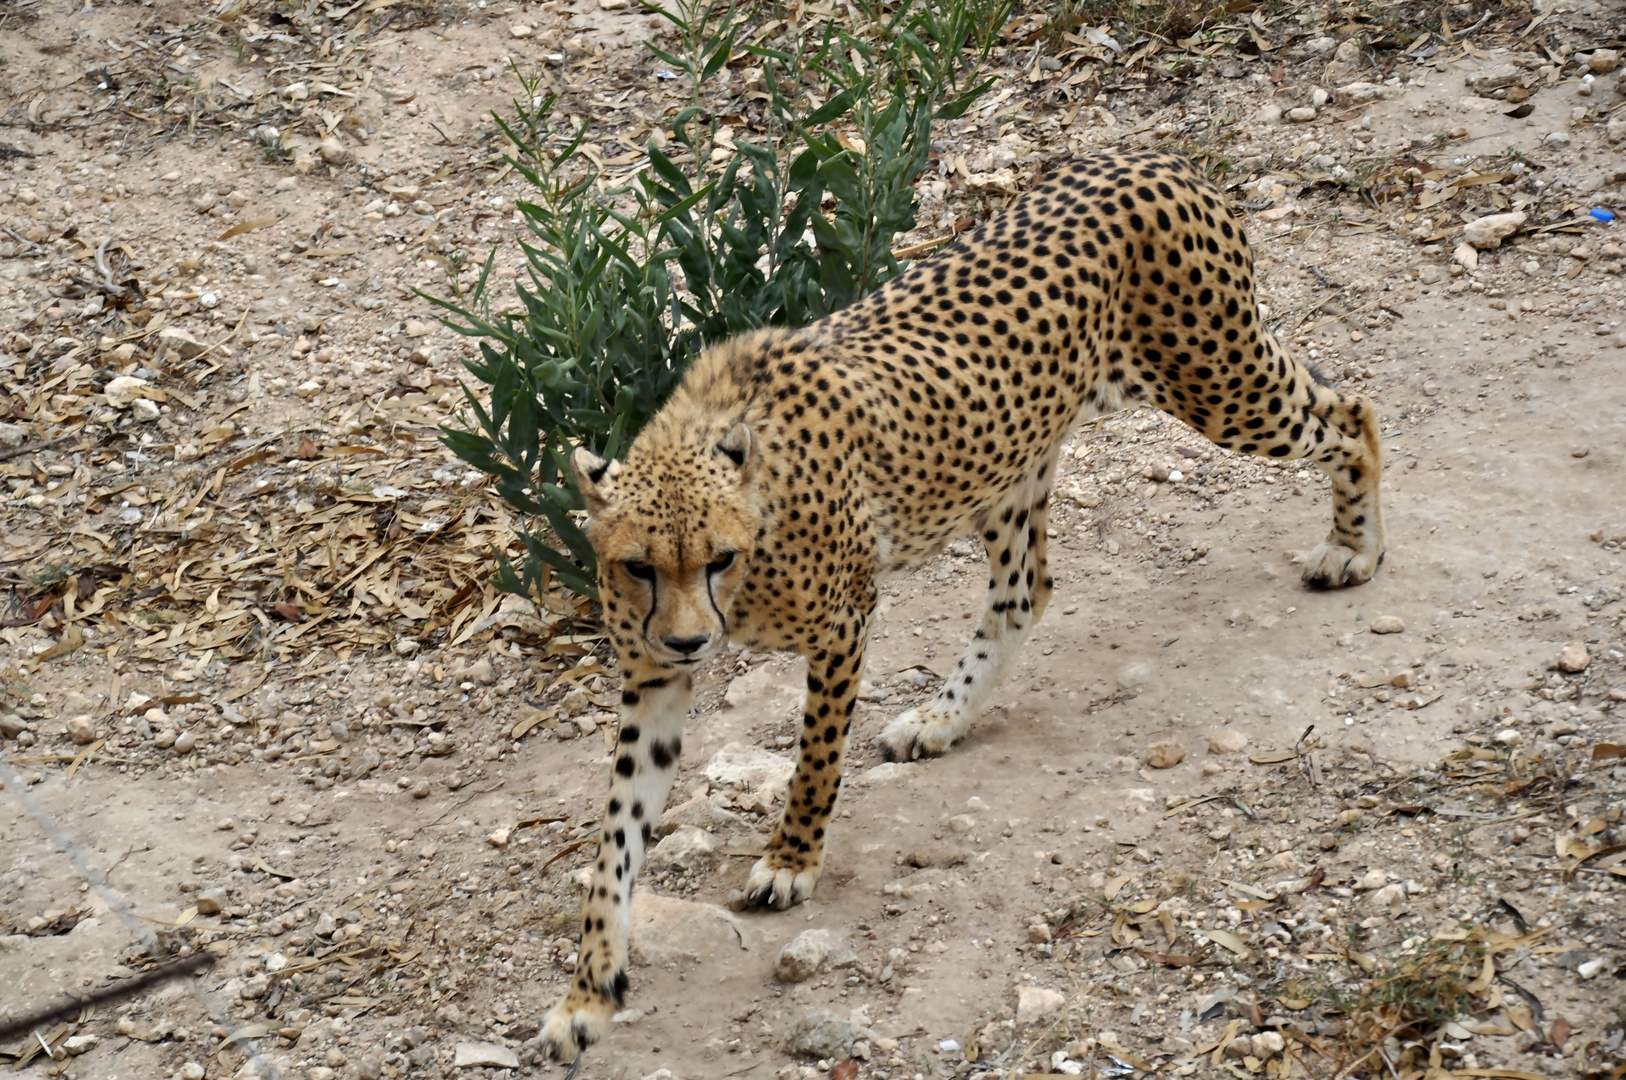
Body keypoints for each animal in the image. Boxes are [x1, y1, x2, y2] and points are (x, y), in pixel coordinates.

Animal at [536, 148, 1385, 1060]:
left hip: (1222, 383)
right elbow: (614, 844)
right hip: (1016, 463)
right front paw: (587, 995)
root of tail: (1148, 157)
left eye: (718, 558)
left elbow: (814, 762)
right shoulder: (652, 676)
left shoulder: (842, 626)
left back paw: (1354, 547)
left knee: (1349, 408)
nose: (694, 643)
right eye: (638, 566)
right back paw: (943, 719)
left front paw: (792, 860)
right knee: (1024, 591)